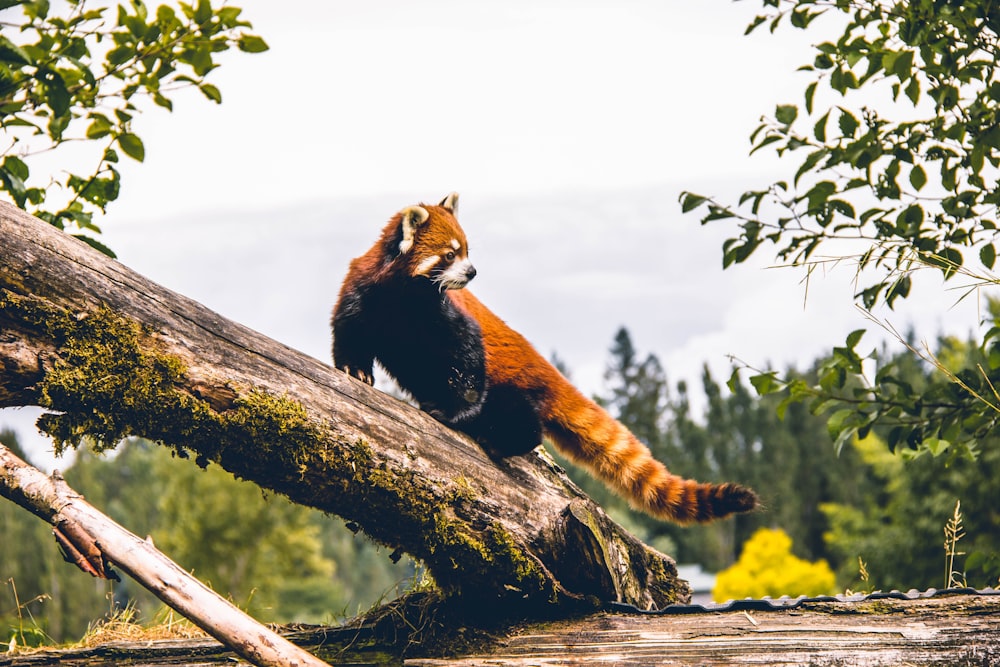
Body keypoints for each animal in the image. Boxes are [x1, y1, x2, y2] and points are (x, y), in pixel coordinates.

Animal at [332, 193, 760, 520]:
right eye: (450, 255)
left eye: (467, 251)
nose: (472, 272)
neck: (403, 298)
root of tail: (548, 371)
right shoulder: (363, 293)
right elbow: (350, 333)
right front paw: (356, 370)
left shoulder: (446, 316)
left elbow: (467, 358)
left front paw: (452, 412)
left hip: (514, 383)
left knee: (521, 419)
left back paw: (500, 439)